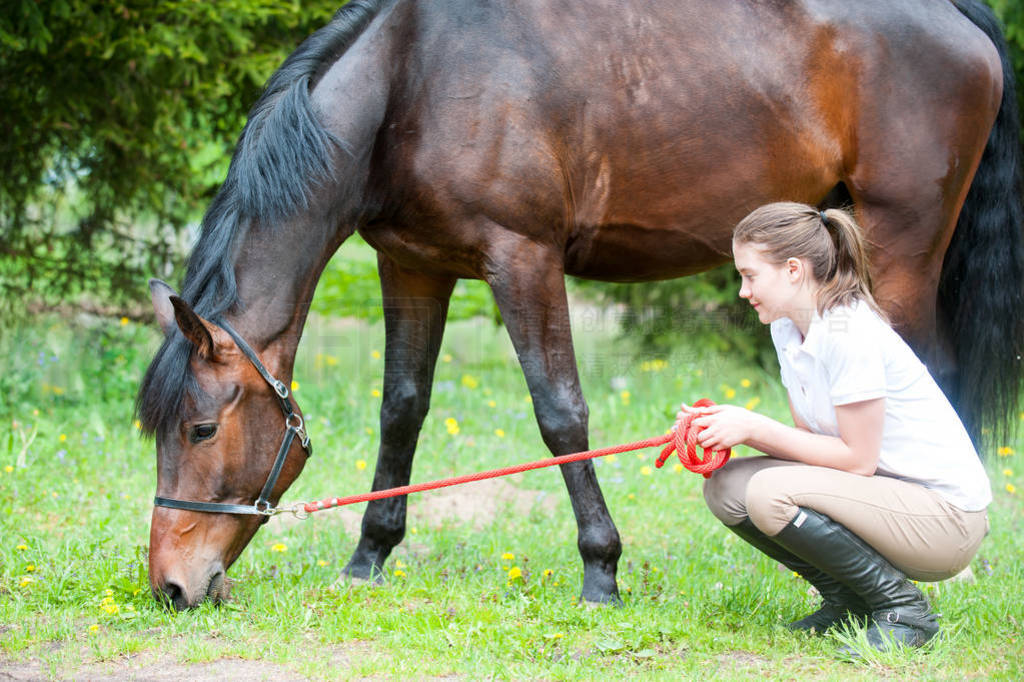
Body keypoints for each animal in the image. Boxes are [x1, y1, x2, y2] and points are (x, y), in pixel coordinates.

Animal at [138, 0, 1024, 606]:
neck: (412, 81)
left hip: (902, 245)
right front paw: (369, 555)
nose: (171, 587)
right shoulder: (411, 267)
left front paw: (602, 568)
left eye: (201, 428)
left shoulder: (523, 259)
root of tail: (953, 13)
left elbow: (560, 413)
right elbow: (403, 407)